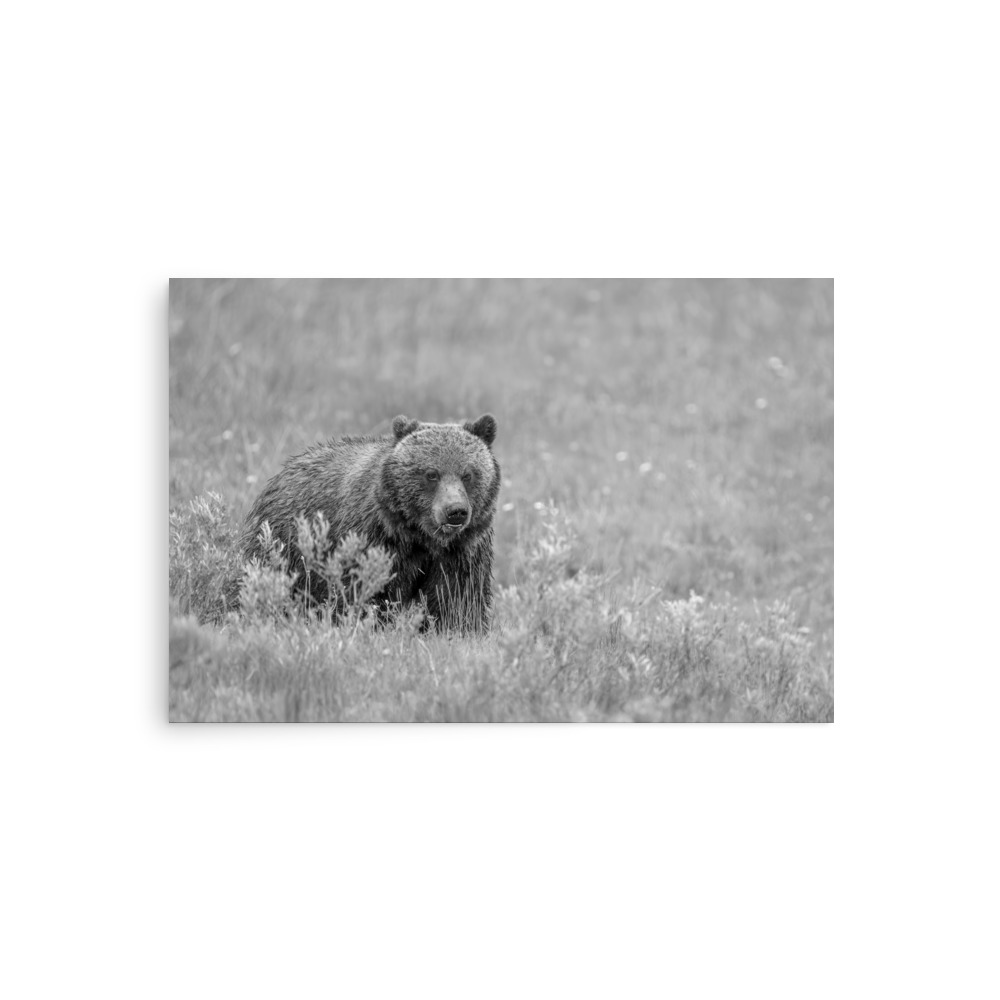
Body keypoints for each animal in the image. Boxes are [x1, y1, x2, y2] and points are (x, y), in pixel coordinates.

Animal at [239, 413, 500, 632]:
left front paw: (458, 630)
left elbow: (457, 599)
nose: (455, 511)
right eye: (431, 474)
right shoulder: (374, 538)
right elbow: (366, 590)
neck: (420, 536)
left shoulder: (462, 550)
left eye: (468, 474)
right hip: (283, 544)